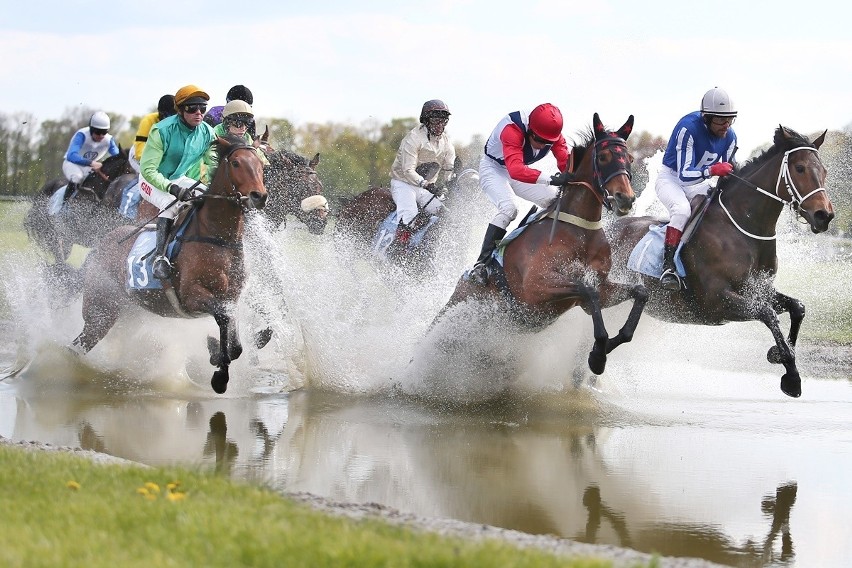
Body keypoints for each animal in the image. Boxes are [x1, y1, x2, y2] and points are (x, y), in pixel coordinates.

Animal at [70, 136, 270, 394]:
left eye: (261, 165)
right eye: (236, 163)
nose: (259, 196)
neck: (217, 237)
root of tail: (100, 245)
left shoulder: (232, 298)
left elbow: (236, 344)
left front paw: (216, 353)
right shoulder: (191, 296)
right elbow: (222, 318)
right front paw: (219, 376)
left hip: (125, 312)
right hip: (100, 311)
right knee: (78, 344)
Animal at [432, 112, 644, 374]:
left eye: (630, 158)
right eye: (603, 157)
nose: (626, 199)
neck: (580, 230)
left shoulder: (602, 288)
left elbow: (639, 293)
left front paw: (601, 351)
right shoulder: (535, 287)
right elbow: (588, 289)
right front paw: (597, 356)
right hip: (455, 315)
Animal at [608, 126, 836, 398]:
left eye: (823, 170)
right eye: (800, 168)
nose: (824, 215)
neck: (742, 228)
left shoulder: (758, 290)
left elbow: (797, 307)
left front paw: (778, 354)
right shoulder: (716, 300)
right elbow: (767, 313)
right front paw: (791, 376)